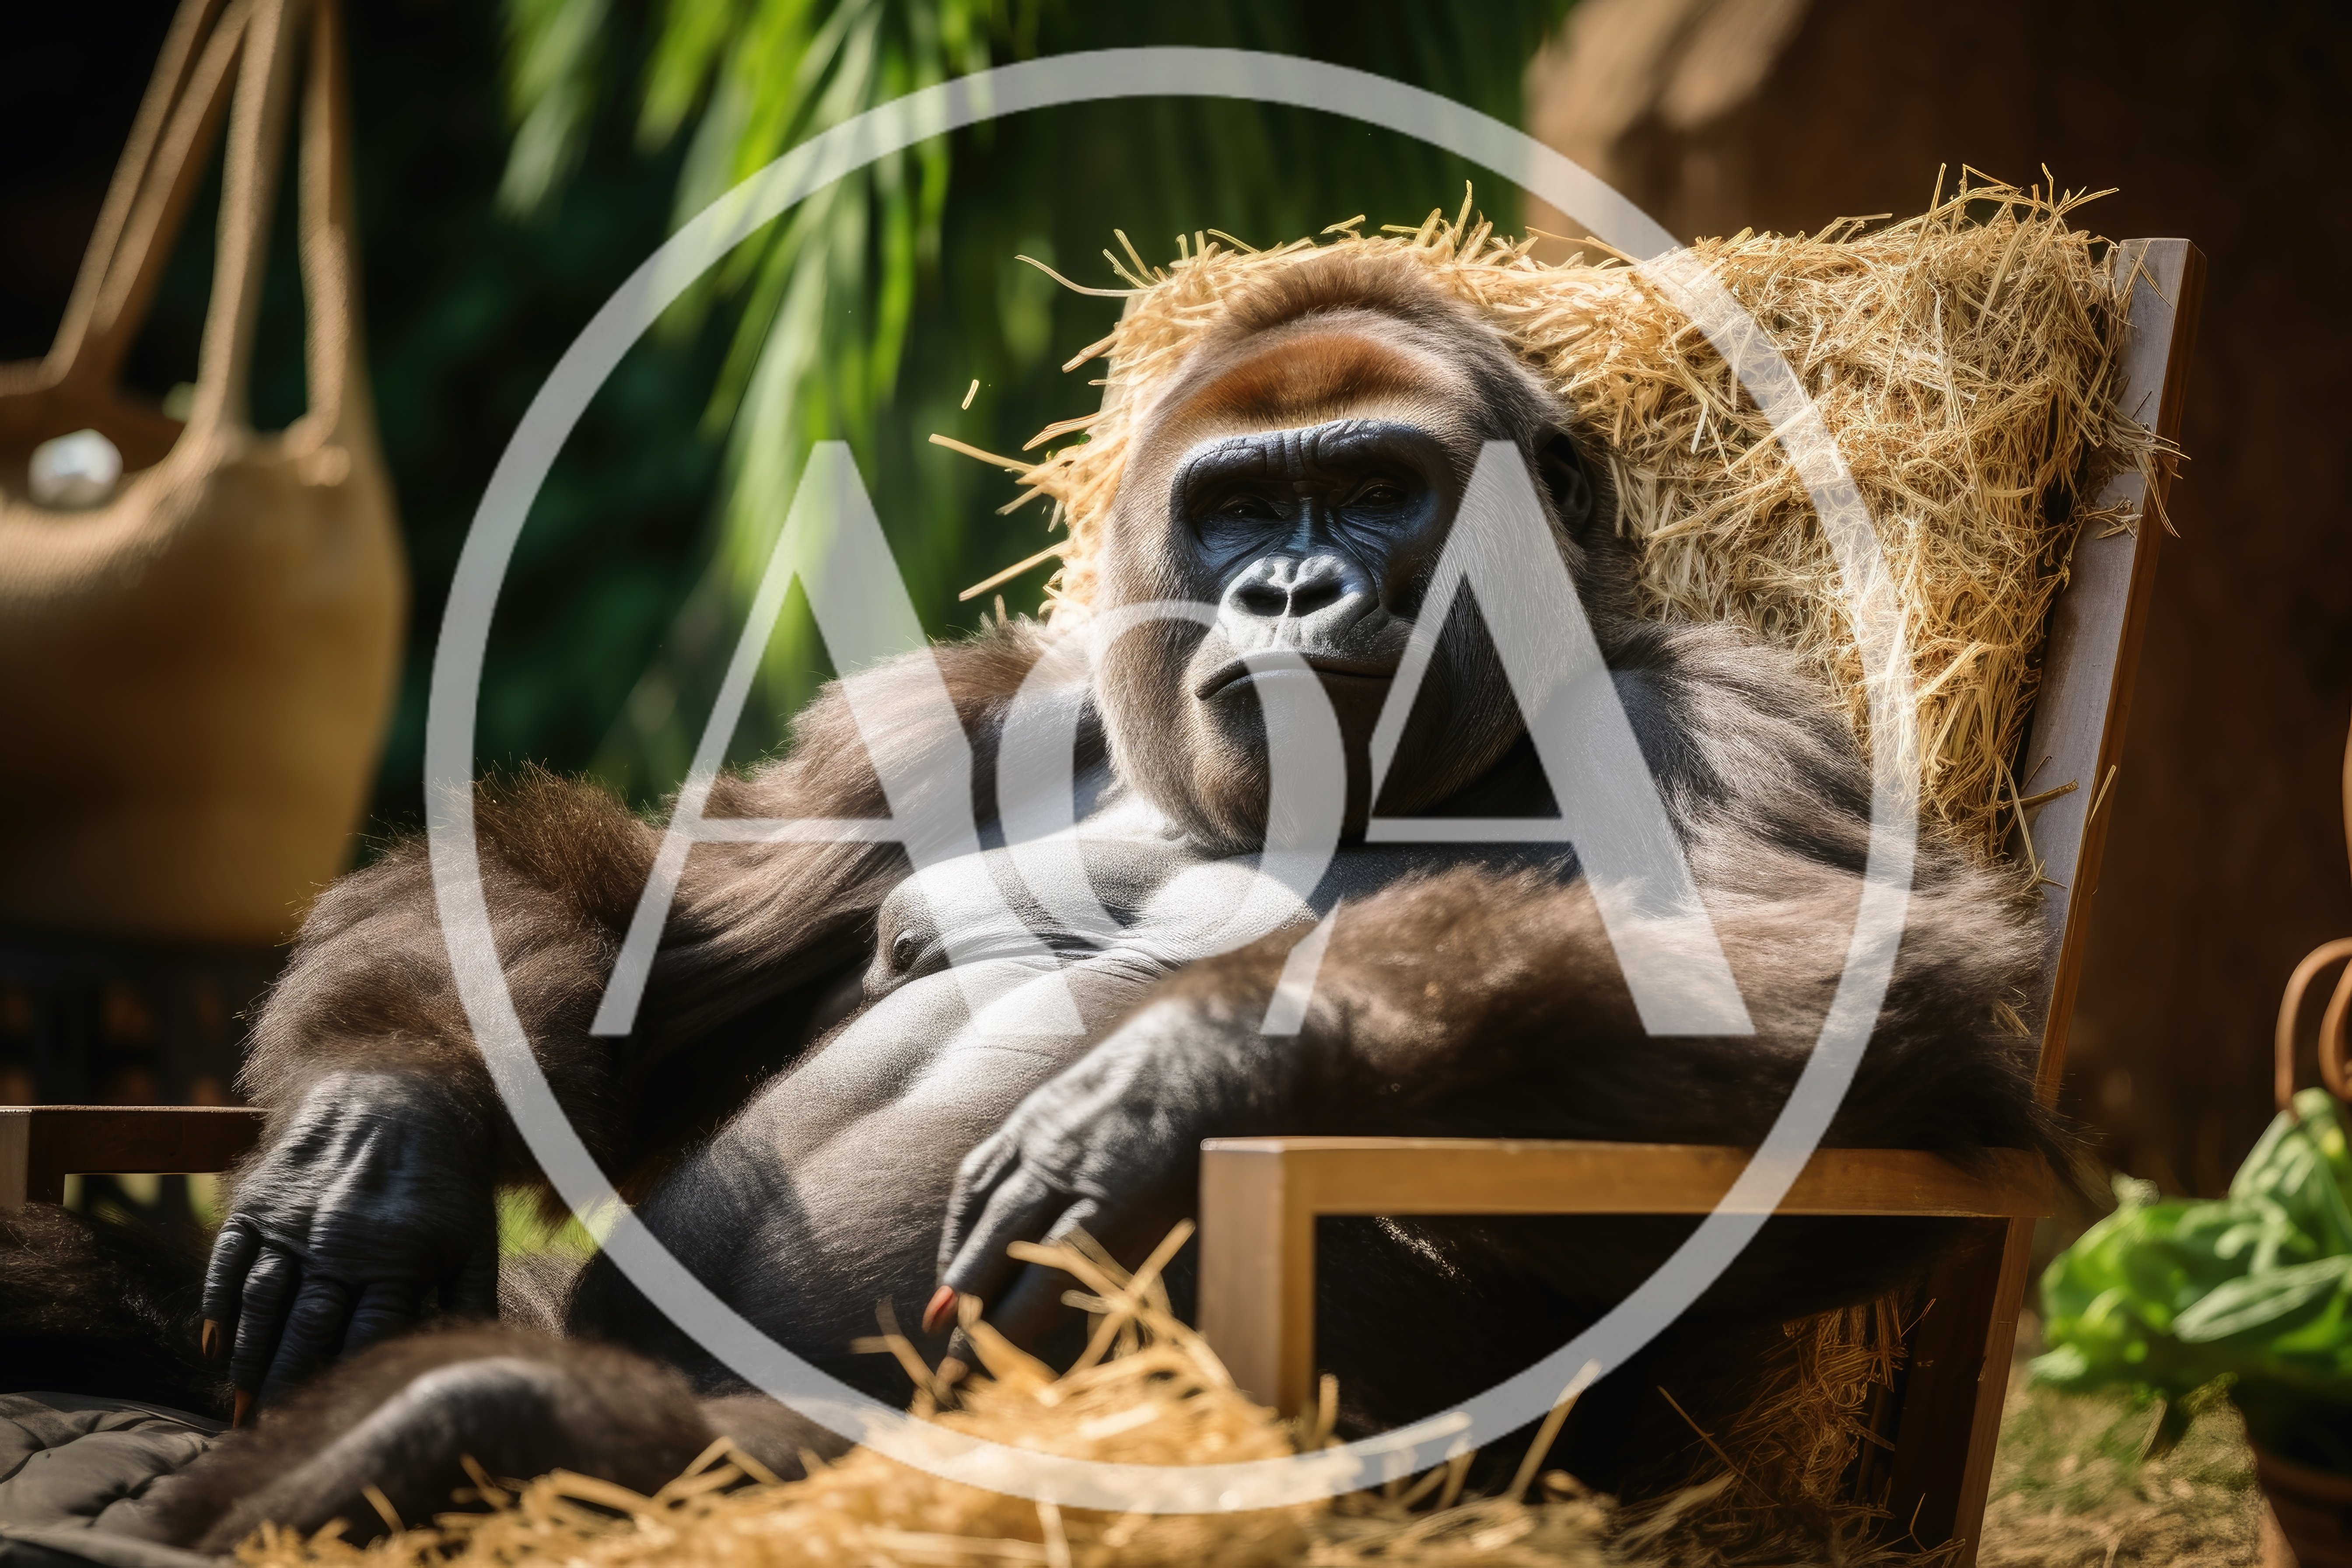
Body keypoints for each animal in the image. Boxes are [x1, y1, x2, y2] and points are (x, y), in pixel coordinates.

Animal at [0, 251, 2060, 1550]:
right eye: (1238, 509)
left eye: (1375, 489)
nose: (1291, 593)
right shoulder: (991, 694)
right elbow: (635, 914)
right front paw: (374, 1138)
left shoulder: (1723, 709)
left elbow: (1870, 1019)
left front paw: (1196, 1071)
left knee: (507, 1416)